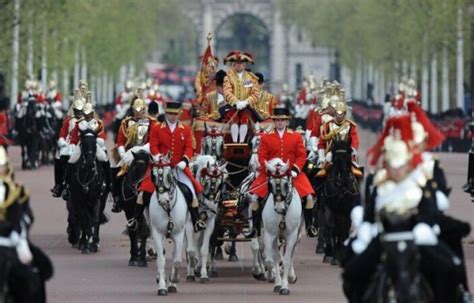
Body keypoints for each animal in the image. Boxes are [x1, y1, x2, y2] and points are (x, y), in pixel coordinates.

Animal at [147, 156, 188, 296]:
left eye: (169, 175)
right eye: (153, 176)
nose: (164, 200)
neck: (168, 209)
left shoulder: (179, 234)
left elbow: (177, 261)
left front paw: (173, 280)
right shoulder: (157, 233)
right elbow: (161, 260)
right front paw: (162, 286)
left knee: (175, 255)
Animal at [185, 156, 228, 284]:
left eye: (220, 183)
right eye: (207, 182)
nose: (210, 206)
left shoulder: (210, 223)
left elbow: (204, 249)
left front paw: (204, 274)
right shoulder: (189, 223)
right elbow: (191, 250)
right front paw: (192, 271)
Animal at [262, 158, 302, 296]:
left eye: (286, 184)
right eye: (270, 184)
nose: (279, 208)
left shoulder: (292, 235)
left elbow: (286, 260)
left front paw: (285, 286)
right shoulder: (269, 234)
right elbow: (272, 259)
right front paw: (275, 280)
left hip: (296, 235)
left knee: (291, 255)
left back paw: (291, 276)